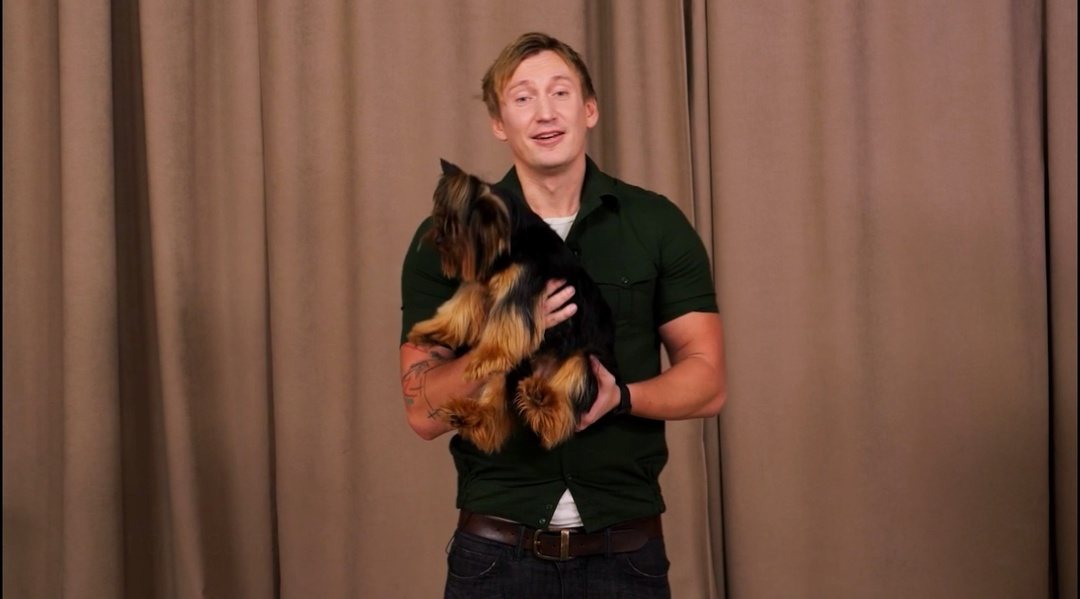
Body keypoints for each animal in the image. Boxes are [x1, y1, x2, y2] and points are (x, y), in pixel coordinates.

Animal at [407, 159, 620, 454]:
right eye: (441, 215)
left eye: (458, 222)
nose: (438, 237)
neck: (506, 239)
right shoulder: (480, 281)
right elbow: (459, 309)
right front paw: (431, 331)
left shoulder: (522, 284)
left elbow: (506, 320)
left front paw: (483, 358)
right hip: (514, 370)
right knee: (495, 408)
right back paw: (471, 415)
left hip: (583, 360)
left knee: (562, 411)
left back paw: (542, 400)